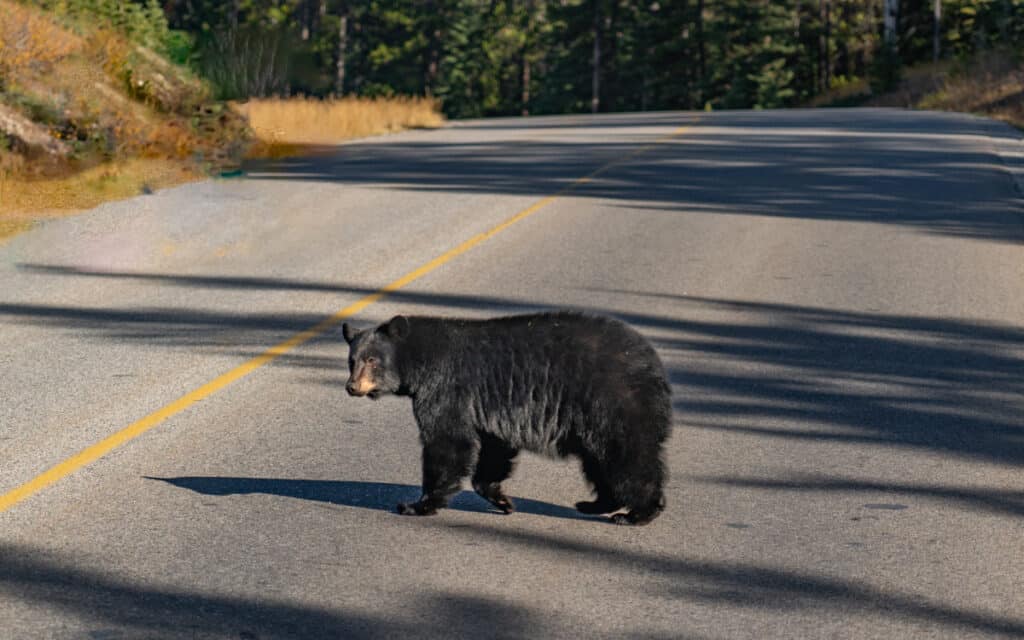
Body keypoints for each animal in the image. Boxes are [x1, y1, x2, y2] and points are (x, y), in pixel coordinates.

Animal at [342, 311, 672, 525]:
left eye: (372, 360)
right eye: (351, 360)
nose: (352, 387)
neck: (421, 359)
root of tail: (653, 361)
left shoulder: (446, 388)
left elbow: (447, 442)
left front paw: (418, 505)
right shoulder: (489, 413)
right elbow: (492, 452)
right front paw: (502, 500)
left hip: (613, 402)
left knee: (628, 457)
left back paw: (638, 513)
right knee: (599, 461)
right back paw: (595, 503)